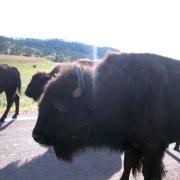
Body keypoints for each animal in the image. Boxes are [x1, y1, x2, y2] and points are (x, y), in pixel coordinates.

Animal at [32, 53, 180, 180]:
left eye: (61, 105)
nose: (37, 136)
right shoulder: (131, 145)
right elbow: (126, 167)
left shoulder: (153, 148)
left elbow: (147, 173)